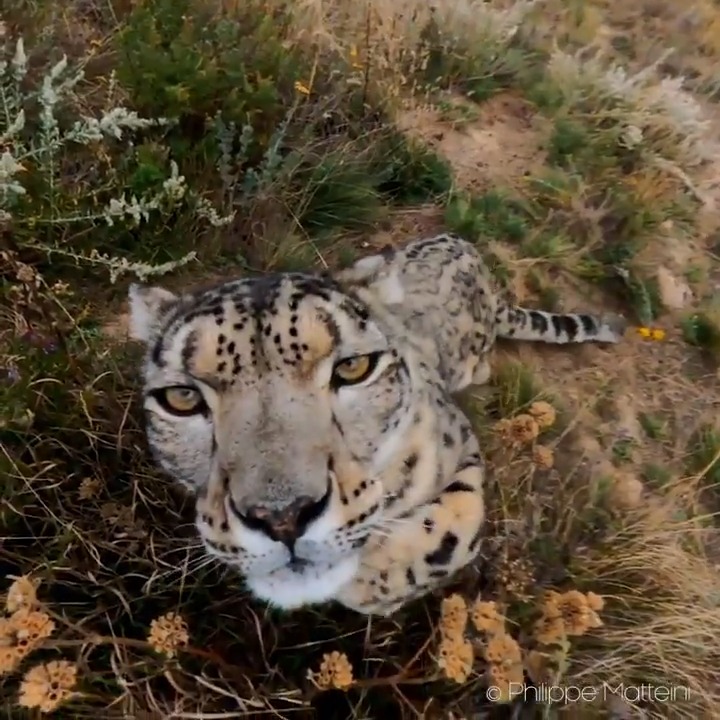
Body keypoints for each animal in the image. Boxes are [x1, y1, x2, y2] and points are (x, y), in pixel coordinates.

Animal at [127, 232, 626, 616]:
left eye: (353, 367)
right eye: (182, 398)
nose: (282, 517)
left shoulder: (461, 446)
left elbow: (454, 524)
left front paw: (370, 581)